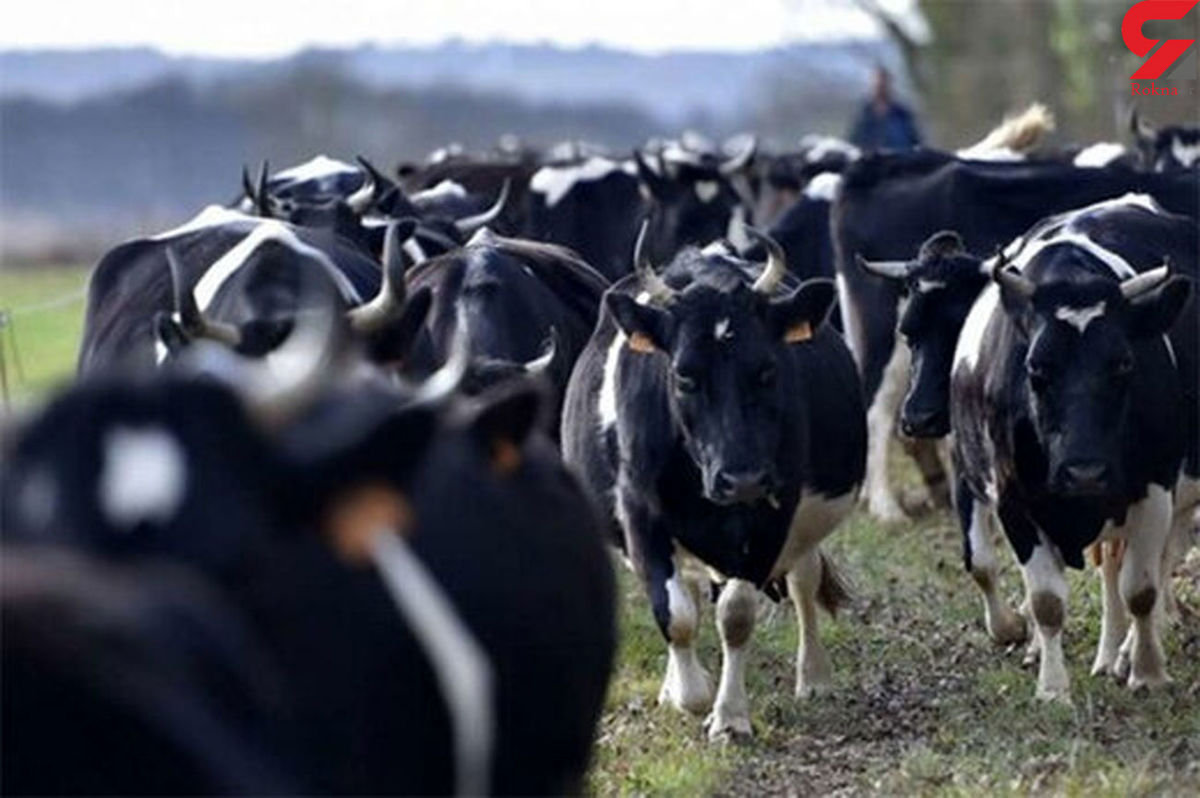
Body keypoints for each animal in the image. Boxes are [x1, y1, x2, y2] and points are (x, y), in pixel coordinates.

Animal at [561, 225, 864, 739]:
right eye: (684, 376)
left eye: (767, 371)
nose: (741, 478)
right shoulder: (640, 514)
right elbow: (676, 614)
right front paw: (690, 693)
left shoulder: (772, 515)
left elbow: (736, 614)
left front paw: (729, 717)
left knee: (804, 581)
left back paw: (814, 677)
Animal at [859, 193, 1195, 657]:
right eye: (907, 332)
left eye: (957, 324)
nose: (918, 417)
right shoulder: (977, 471)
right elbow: (983, 562)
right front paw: (1023, 632)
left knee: (1156, 558)